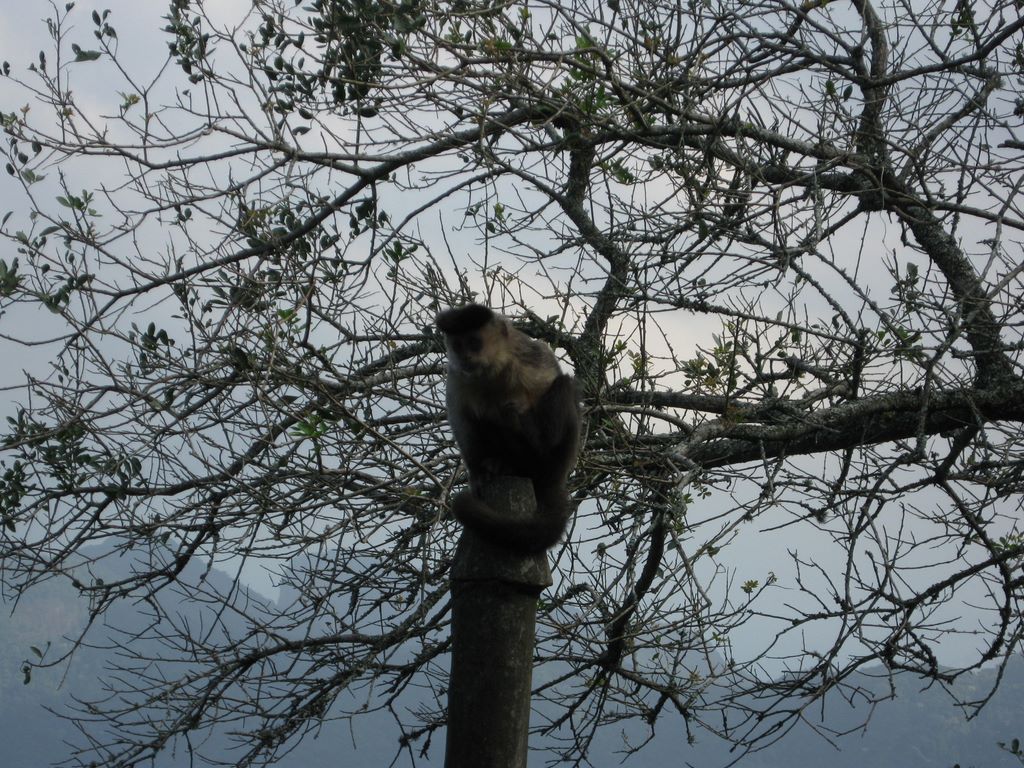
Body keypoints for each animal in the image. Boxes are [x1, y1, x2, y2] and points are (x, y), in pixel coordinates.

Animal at [436, 304, 580, 553]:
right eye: (458, 345)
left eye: (474, 342)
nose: (466, 357)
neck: (493, 371)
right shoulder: (458, 376)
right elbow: (461, 420)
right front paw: (478, 474)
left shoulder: (530, 359)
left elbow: (550, 431)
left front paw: (521, 420)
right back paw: (499, 463)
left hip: (553, 464)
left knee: (563, 385)